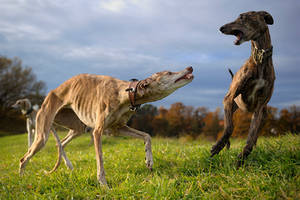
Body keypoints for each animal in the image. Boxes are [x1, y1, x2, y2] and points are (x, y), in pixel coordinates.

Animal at [18, 66, 193, 185]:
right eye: (169, 72)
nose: (189, 67)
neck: (126, 92)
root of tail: (49, 95)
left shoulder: (117, 128)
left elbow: (147, 136)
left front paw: (149, 160)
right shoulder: (98, 132)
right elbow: (100, 160)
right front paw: (103, 185)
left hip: (77, 127)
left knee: (60, 143)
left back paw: (68, 165)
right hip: (42, 134)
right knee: (24, 158)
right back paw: (21, 178)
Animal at [210, 11, 276, 167]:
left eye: (242, 17)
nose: (221, 28)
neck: (260, 60)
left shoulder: (260, 108)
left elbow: (251, 137)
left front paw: (241, 160)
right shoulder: (228, 99)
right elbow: (229, 127)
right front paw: (218, 146)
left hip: (263, 114)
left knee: (256, 134)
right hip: (231, 105)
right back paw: (225, 144)